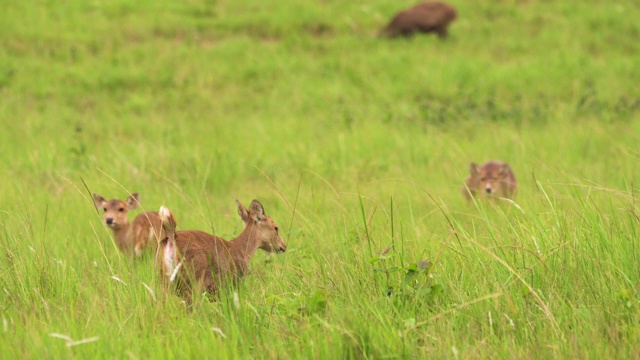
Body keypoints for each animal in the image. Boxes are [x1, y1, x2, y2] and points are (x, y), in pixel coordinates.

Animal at [156, 200, 286, 300]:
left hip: (164, 281)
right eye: (276, 228)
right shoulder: (233, 283)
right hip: (191, 283)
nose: (283, 246)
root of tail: (171, 237)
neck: (242, 251)